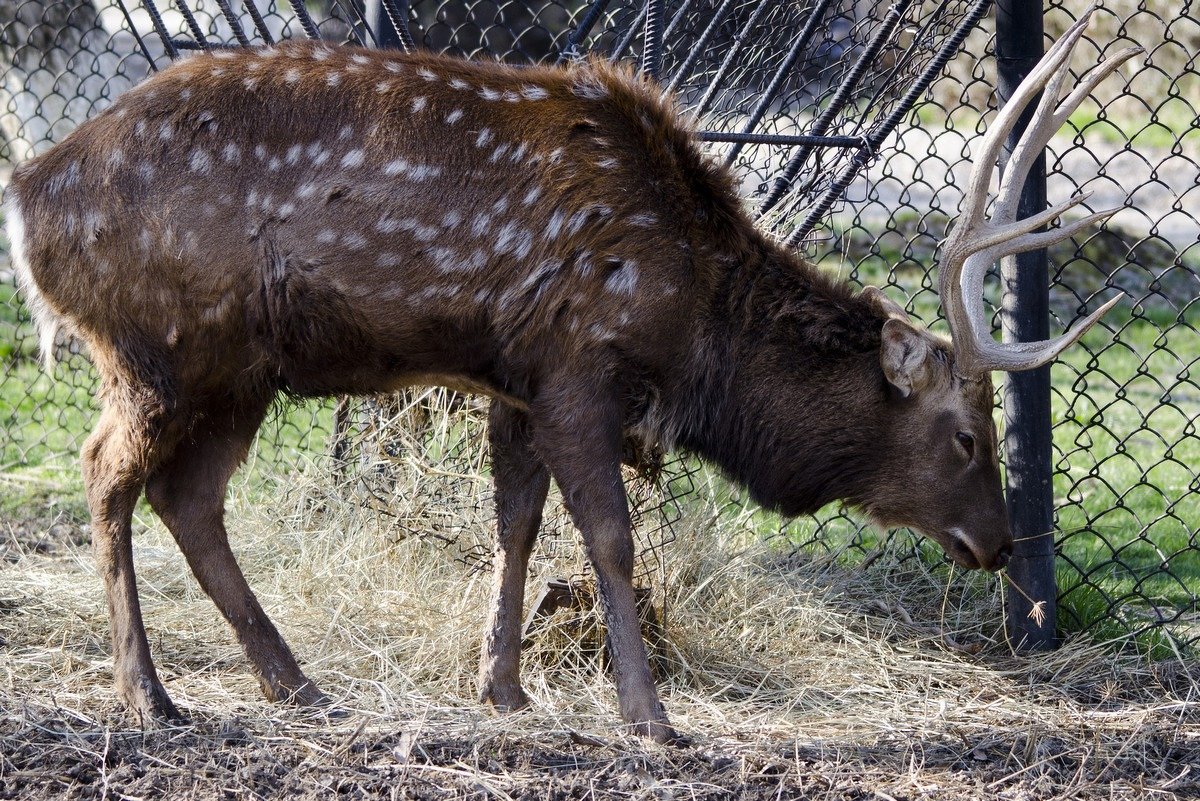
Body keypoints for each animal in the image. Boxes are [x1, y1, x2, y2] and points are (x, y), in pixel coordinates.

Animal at [4, 9, 1137, 743]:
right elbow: (609, 539)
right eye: (966, 435)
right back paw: (150, 696)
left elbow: (515, 521)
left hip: (243, 368)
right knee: (106, 472)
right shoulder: (582, 362)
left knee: (189, 496)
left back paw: (297, 685)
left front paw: (502, 687)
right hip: (160, 345)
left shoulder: (519, 380)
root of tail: (29, 198)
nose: (998, 542)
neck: (693, 319)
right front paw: (651, 716)